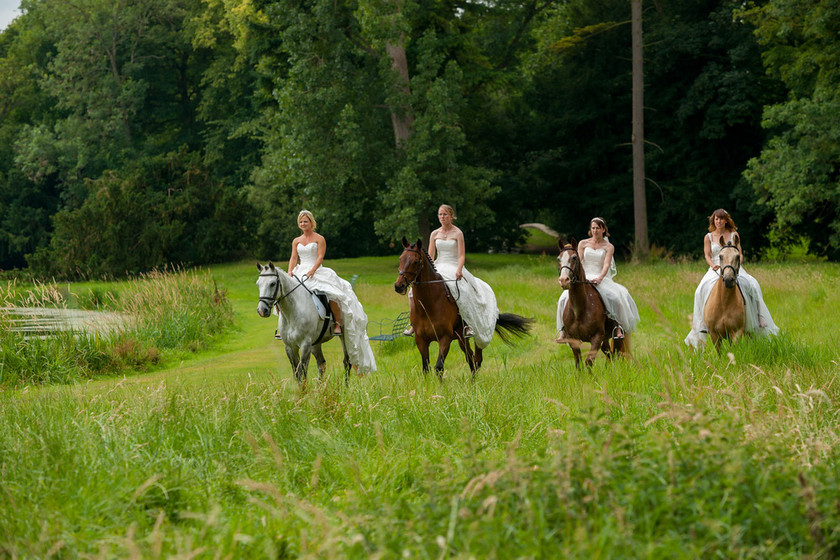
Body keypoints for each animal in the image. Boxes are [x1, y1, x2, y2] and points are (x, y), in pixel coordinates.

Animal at [394, 238, 532, 378]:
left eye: (415, 261)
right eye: (401, 258)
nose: (399, 286)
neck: (428, 305)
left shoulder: (445, 338)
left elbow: (439, 367)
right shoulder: (421, 340)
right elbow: (426, 369)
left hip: (479, 334)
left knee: (477, 360)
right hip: (461, 338)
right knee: (470, 358)